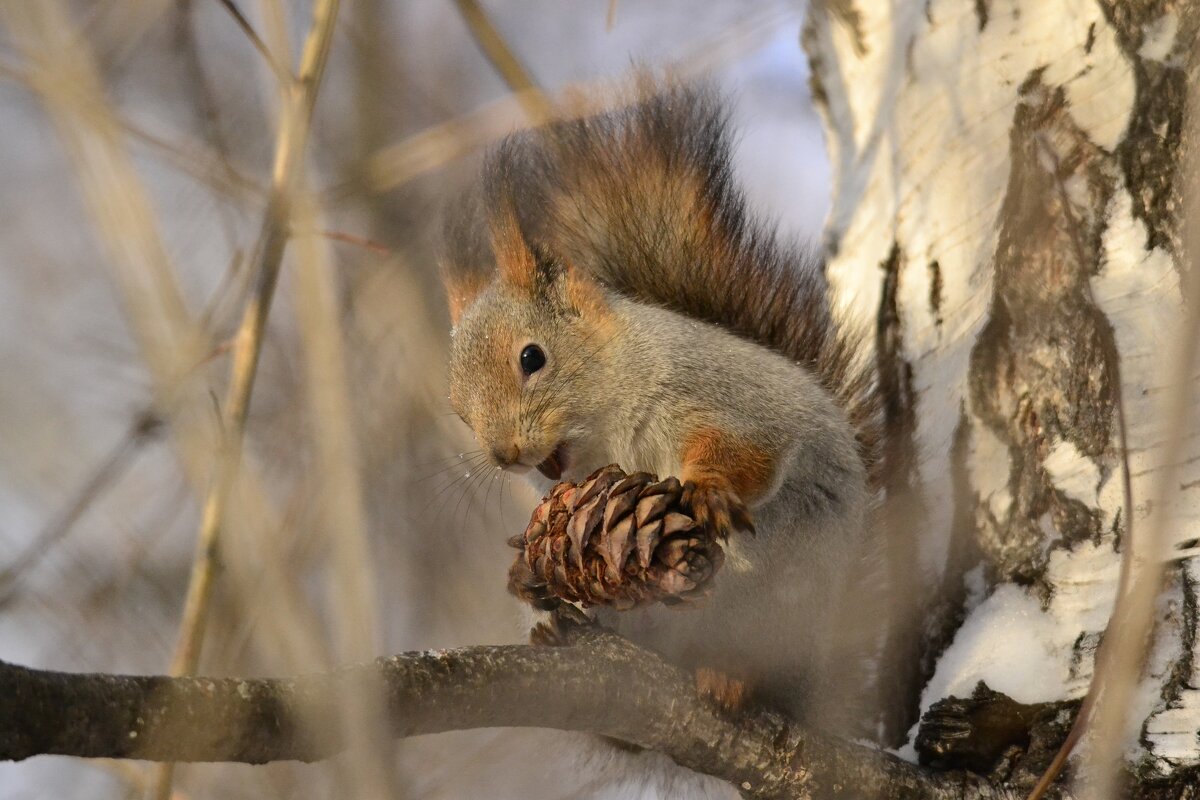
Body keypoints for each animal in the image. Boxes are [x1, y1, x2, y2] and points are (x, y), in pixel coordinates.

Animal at [439, 81, 883, 734]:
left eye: (531, 357)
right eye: (458, 408)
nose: (504, 455)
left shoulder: (718, 394)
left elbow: (750, 448)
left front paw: (709, 491)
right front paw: (525, 573)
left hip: (779, 613)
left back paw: (730, 678)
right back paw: (560, 627)